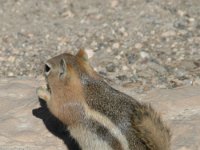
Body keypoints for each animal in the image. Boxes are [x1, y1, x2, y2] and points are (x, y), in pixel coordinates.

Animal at [37, 49, 170, 150]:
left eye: (47, 68)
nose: (43, 66)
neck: (83, 80)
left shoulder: (66, 104)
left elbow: (55, 109)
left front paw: (42, 91)